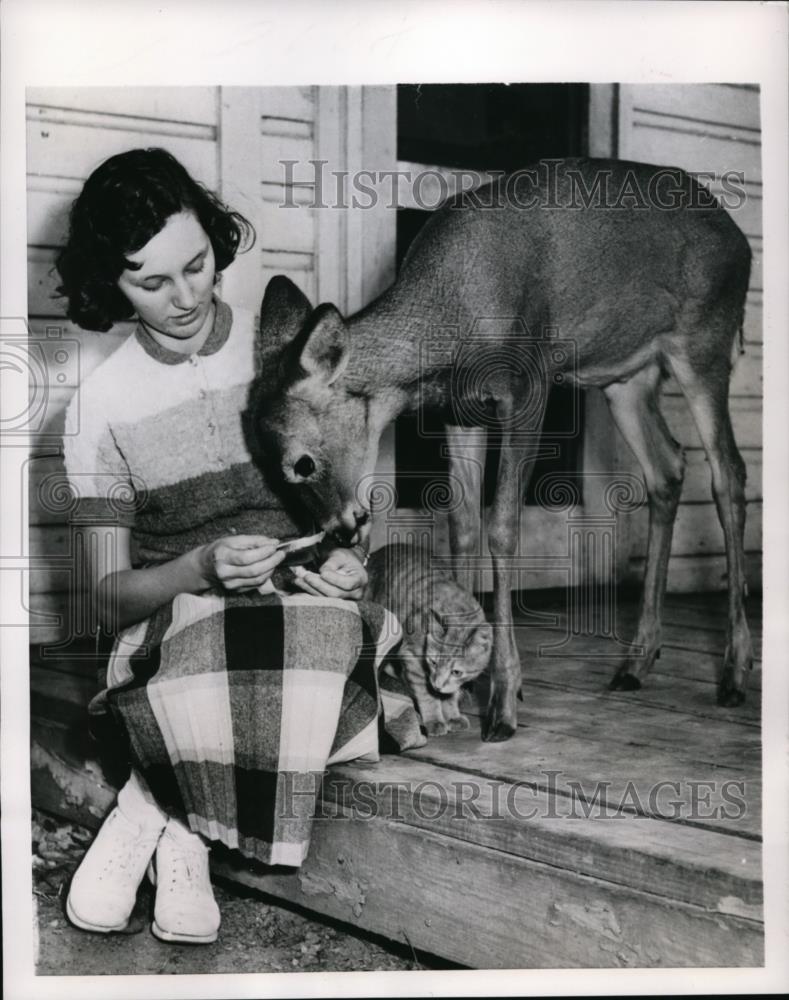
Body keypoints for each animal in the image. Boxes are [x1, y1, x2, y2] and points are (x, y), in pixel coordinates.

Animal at [364, 544, 490, 740]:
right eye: (433, 662)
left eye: (456, 672)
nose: (437, 684)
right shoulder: (412, 659)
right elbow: (427, 696)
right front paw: (434, 720)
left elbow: (449, 694)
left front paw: (452, 715)